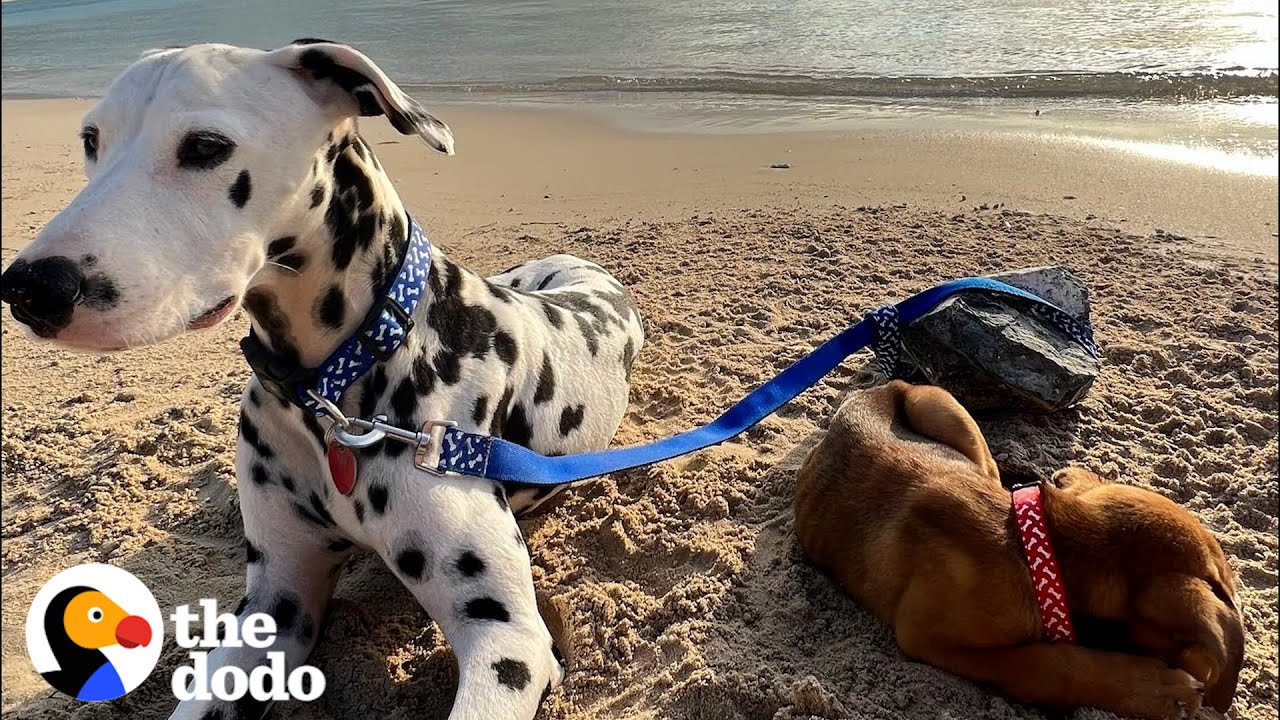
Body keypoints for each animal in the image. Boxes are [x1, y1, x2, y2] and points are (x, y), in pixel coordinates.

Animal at [0, 40, 640, 717]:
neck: (331, 390)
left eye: (205, 146)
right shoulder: (276, 603)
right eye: (91, 140)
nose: (28, 288)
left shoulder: (506, 639)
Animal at [793, 379, 1244, 712]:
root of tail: (882, 386)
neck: (1040, 555)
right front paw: (1154, 688)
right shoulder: (924, 635)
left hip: (945, 409)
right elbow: (1046, 662)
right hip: (935, 400)